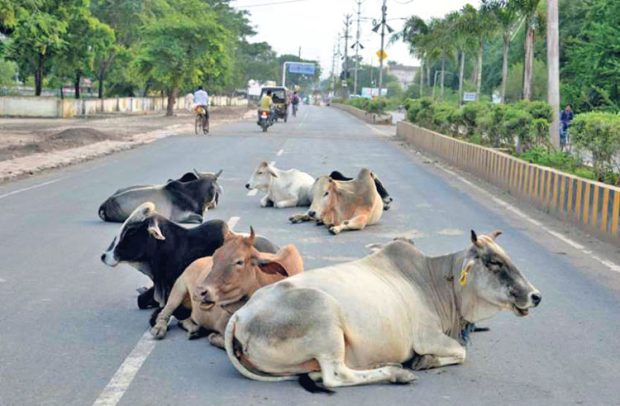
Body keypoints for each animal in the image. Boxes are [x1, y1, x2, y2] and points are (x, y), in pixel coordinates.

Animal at [151, 228, 306, 348]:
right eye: (214, 256)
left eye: (239, 262)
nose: (200, 292)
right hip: (178, 290)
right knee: (164, 314)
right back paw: (160, 329)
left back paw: (195, 330)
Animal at [225, 230, 540, 392]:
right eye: (494, 262)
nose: (535, 296)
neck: (436, 281)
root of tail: (241, 315)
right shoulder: (427, 337)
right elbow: (460, 352)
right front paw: (425, 361)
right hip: (324, 318)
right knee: (336, 375)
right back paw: (396, 373)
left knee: (320, 374)